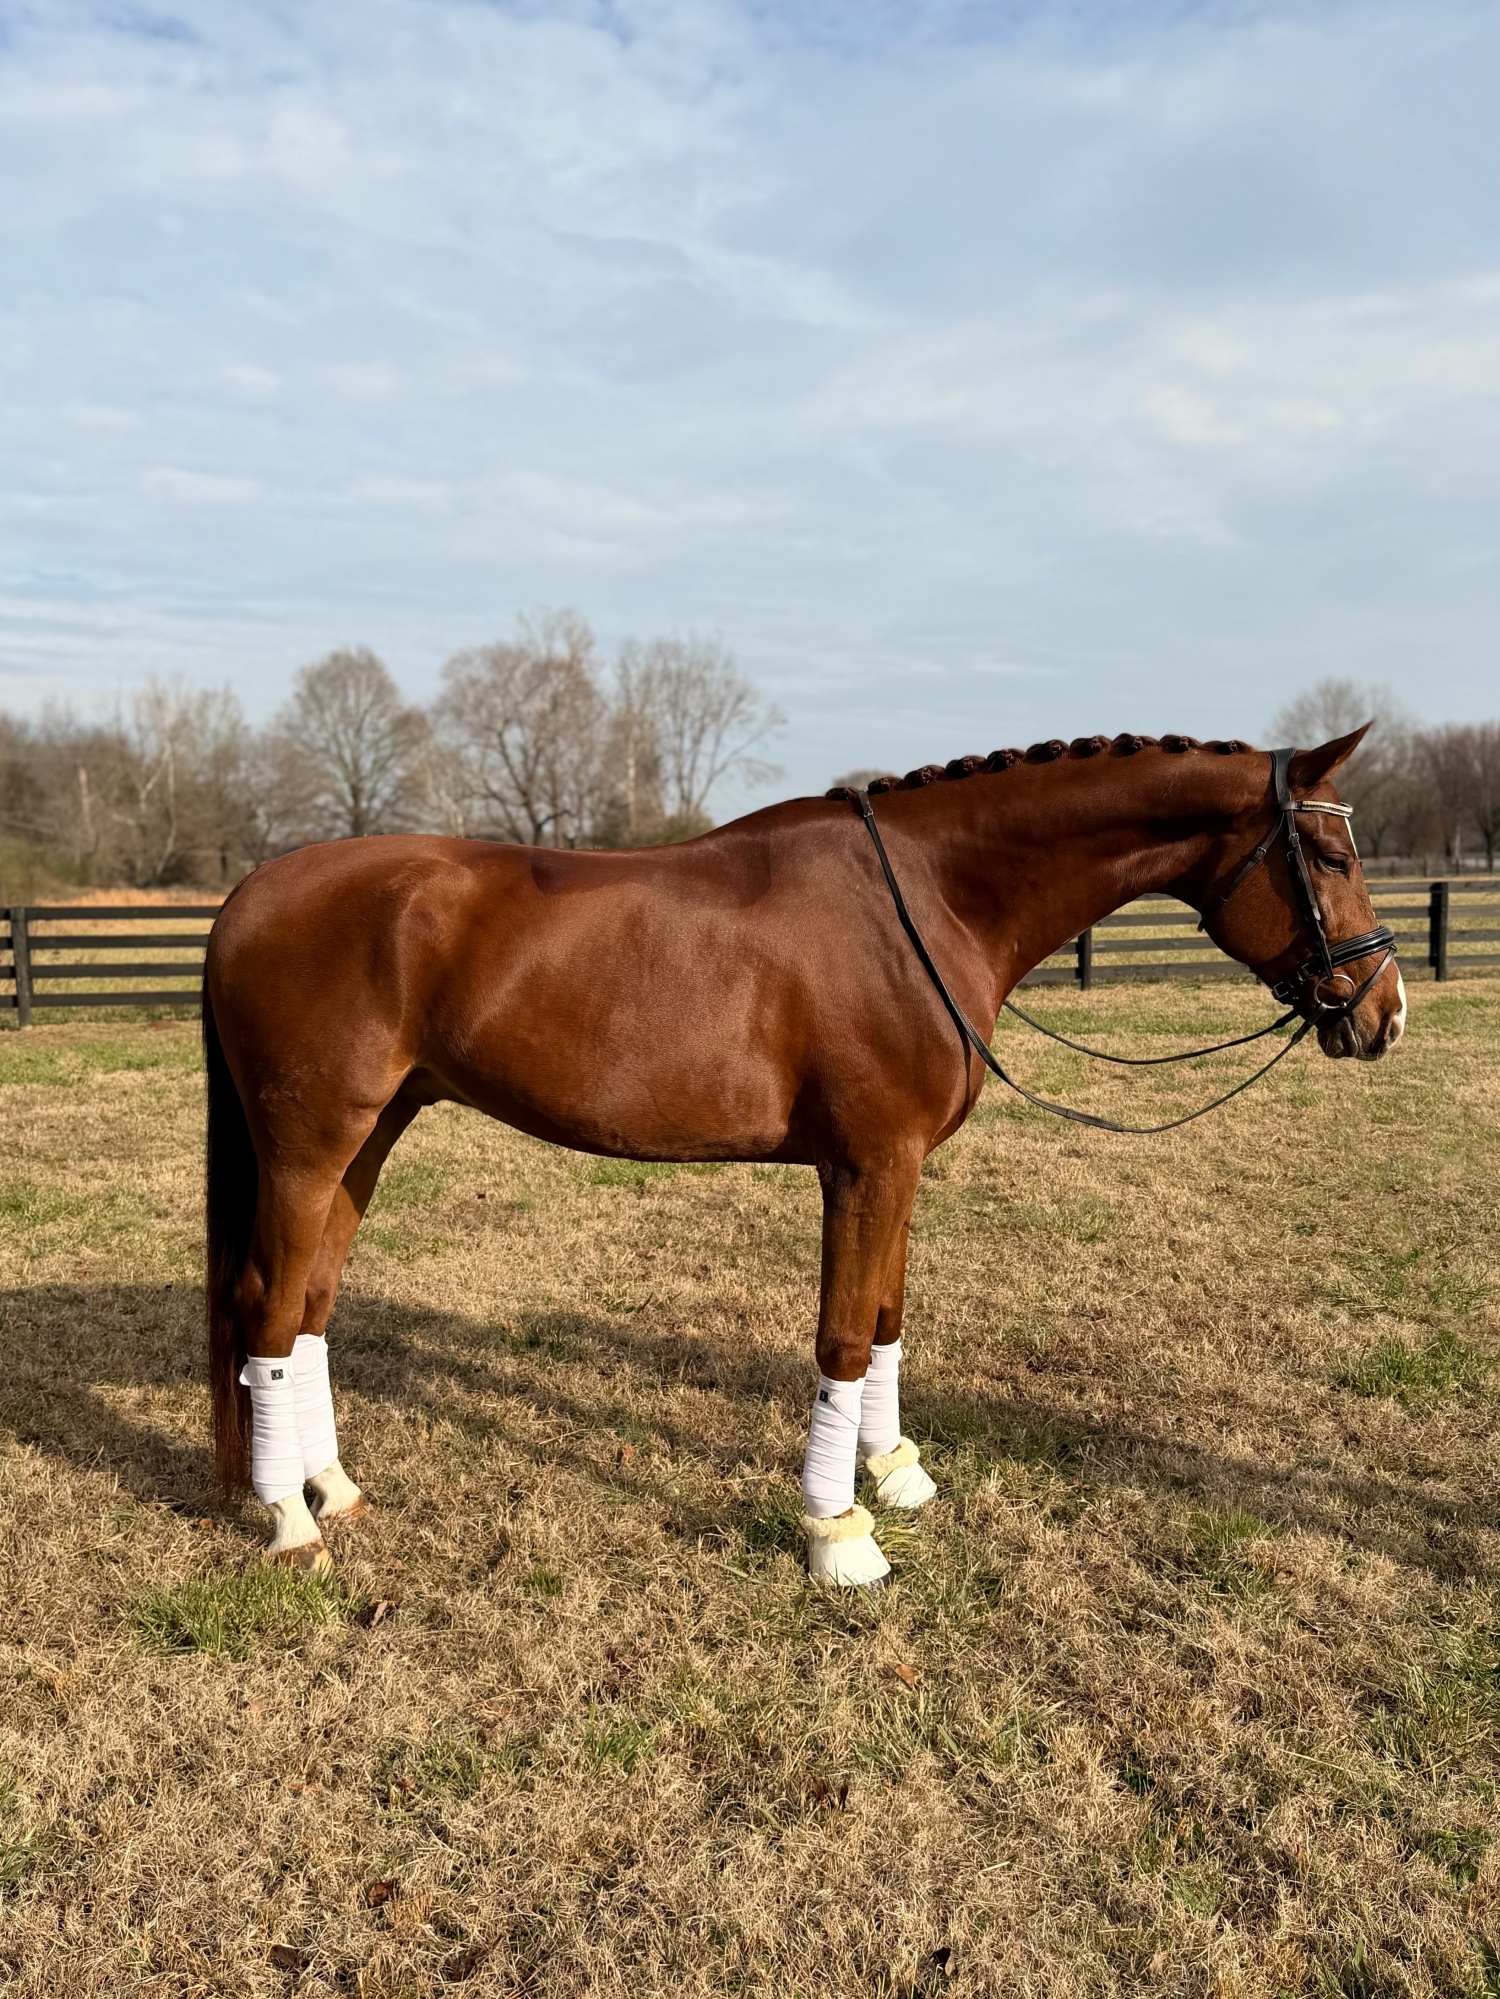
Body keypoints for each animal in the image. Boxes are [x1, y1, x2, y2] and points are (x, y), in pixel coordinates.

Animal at [202, 726, 1405, 1585]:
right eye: (1332, 853)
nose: (1384, 1012)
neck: (925, 902)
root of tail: (247, 894)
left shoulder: (898, 1165)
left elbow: (885, 1320)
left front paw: (896, 1473)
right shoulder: (869, 1163)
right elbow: (840, 1337)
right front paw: (838, 1531)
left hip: (372, 1135)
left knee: (310, 1307)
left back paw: (331, 1487)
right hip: (312, 1147)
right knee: (267, 1307)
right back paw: (288, 1521)